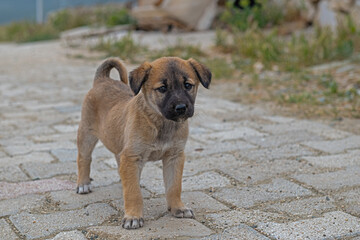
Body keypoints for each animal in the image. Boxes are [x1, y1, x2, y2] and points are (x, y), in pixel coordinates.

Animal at [76, 56, 211, 229]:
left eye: (188, 85)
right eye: (162, 88)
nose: (181, 108)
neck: (161, 123)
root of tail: (102, 80)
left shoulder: (174, 157)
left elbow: (174, 186)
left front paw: (178, 208)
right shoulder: (132, 156)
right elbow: (133, 192)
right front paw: (133, 216)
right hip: (87, 134)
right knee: (84, 159)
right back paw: (83, 183)